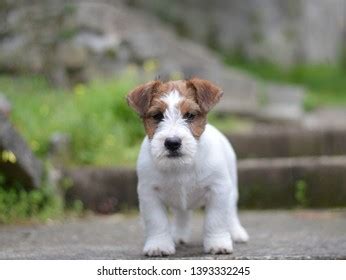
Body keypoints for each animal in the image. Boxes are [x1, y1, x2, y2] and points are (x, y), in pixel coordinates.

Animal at [127, 78, 249, 256]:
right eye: (157, 116)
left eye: (190, 115)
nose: (172, 143)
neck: (181, 166)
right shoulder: (149, 193)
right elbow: (156, 221)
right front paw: (159, 245)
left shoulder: (218, 189)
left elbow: (216, 219)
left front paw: (218, 243)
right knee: (182, 215)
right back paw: (179, 235)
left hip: (232, 189)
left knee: (231, 212)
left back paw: (237, 233)